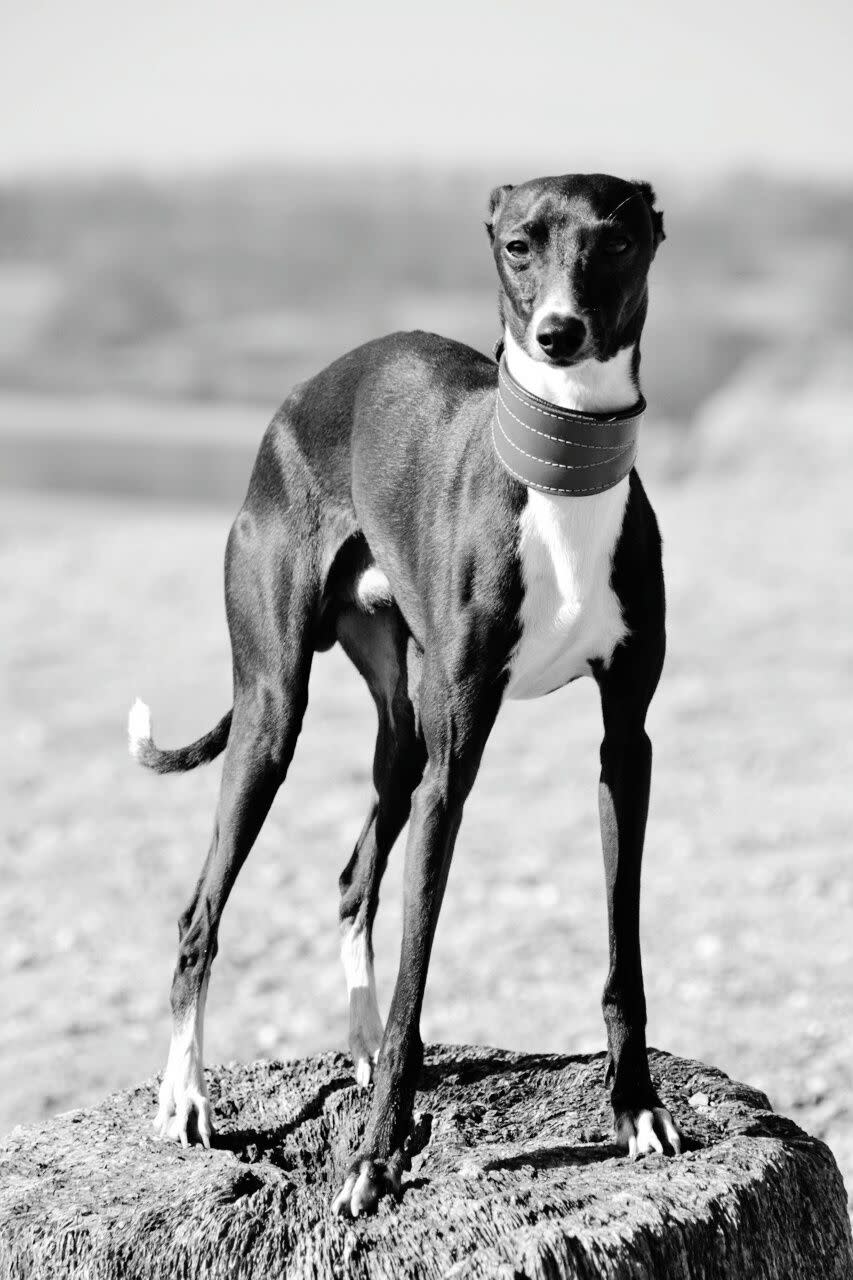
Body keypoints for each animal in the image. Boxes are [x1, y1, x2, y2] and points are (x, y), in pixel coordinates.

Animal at [129, 172, 681, 1218]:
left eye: (619, 240)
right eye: (516, 245)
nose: (557, 333)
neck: (560, 480)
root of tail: (305, 392)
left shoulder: (624, 746)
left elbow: (623, 952)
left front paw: (635, 1108)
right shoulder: (452, 769)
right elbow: (418, 978)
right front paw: (377, 1160)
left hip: (401, 729)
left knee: (353, 877)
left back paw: (354, 1047)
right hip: (276, 713)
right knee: (197, 917)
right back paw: (186, 1097)